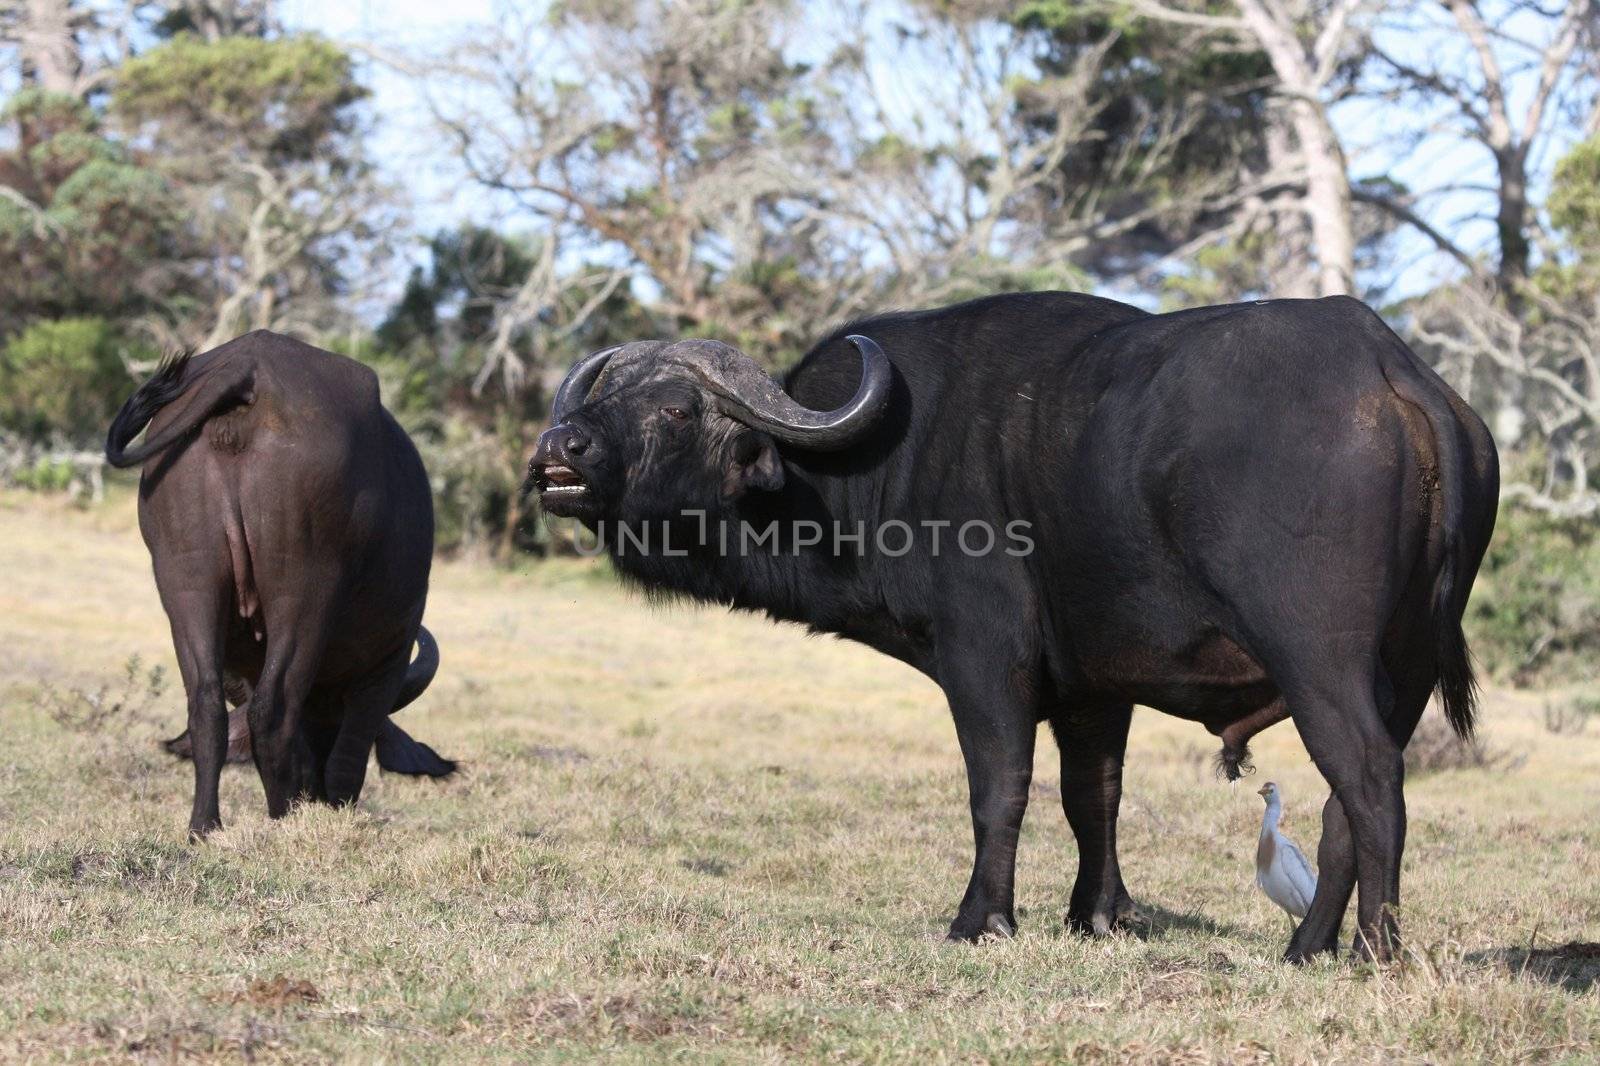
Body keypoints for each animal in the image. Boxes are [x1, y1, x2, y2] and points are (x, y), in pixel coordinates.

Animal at [104, 328, 457, 832]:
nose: (316, 793)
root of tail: (248, 371)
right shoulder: (384, 667)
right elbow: (349, 758)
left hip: (186, 578)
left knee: (205, 702)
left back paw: (204, 827)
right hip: (304, 591)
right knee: (273, 710)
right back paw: (280, 816)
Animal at [534, 288, 1497, 953]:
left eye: (673, 409)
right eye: (591, 402)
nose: (556, 452)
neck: (871, 463)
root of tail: (1392, 374)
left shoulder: (985, 660)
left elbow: (999, 787)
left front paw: (981, 918)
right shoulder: (1096, 690)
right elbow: (1092, 796)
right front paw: (1097, 915)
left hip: (1318, 661)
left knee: (1369, 783)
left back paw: (1373, 949)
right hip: (1406, 668)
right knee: (1343, 805)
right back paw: (1307, 946)